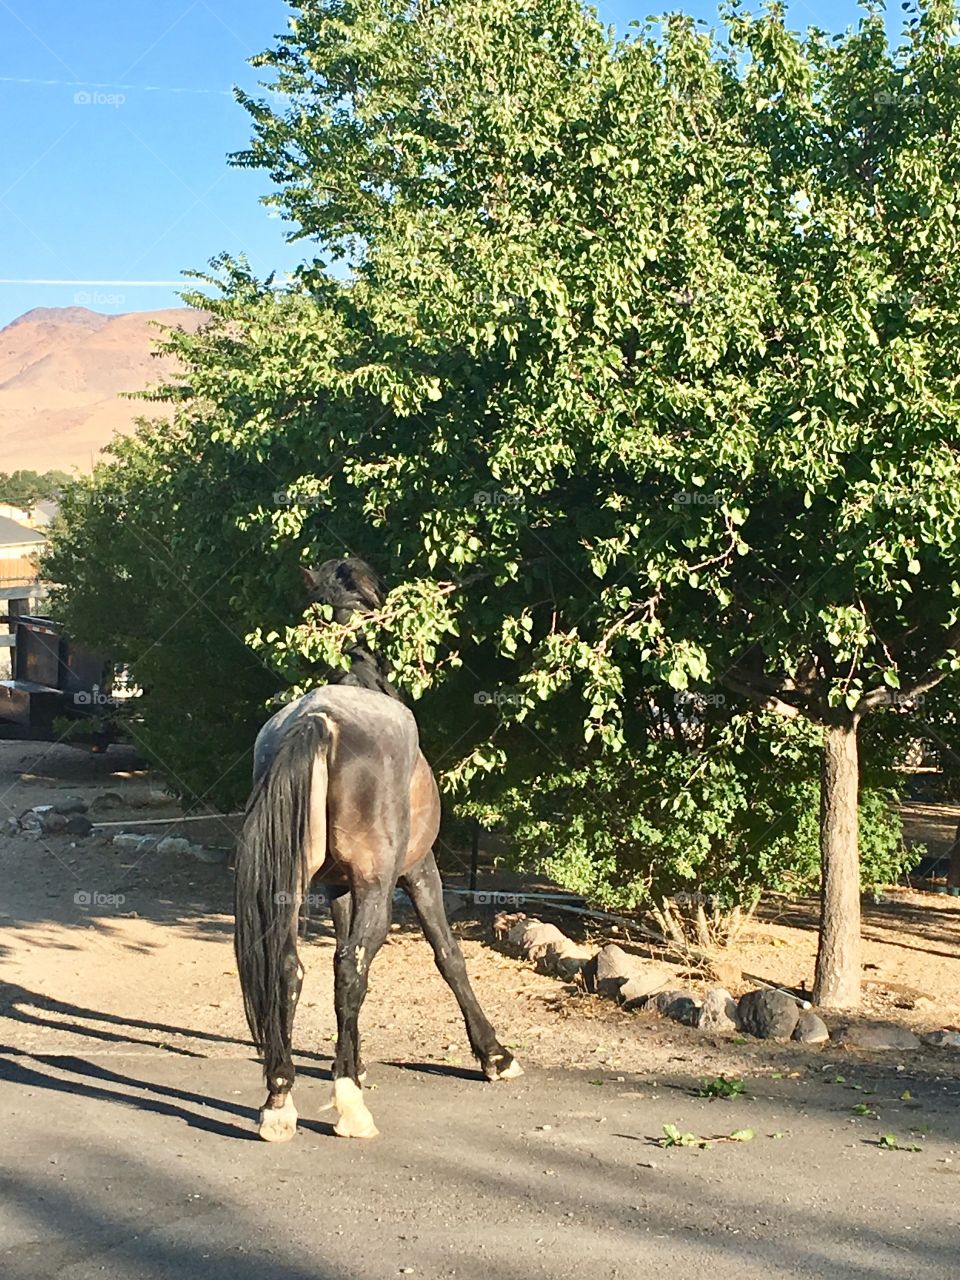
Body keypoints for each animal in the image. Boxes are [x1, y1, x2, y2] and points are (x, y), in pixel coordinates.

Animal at [235, 560, 527, 1141]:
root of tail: (320, 720)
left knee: (291, 967)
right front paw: (495, 1056)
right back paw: (349, 1108)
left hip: (296, 887)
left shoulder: (336, 887)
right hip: (380, 881)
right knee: (351, 968)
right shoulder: (417, 870)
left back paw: (280, 1101)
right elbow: (448, 955)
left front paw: (355, 1060)